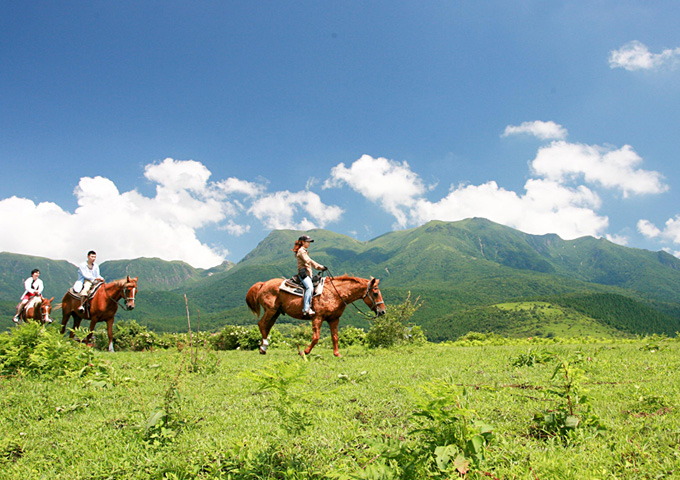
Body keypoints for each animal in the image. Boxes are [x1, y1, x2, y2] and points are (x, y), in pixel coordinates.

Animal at [246, 274, 386, 356]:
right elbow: (316, 337)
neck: (335, 293)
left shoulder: (334, 319)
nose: (382, 312)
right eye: (375, 293)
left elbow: (335, 337)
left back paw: (263, 348)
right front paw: (305, 351)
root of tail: (263, 284)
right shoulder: (317, 318)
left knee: (267, 326)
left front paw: (337, 354)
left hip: (276, 312)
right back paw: (264, 347)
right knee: (262, 324)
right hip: (270, 310)